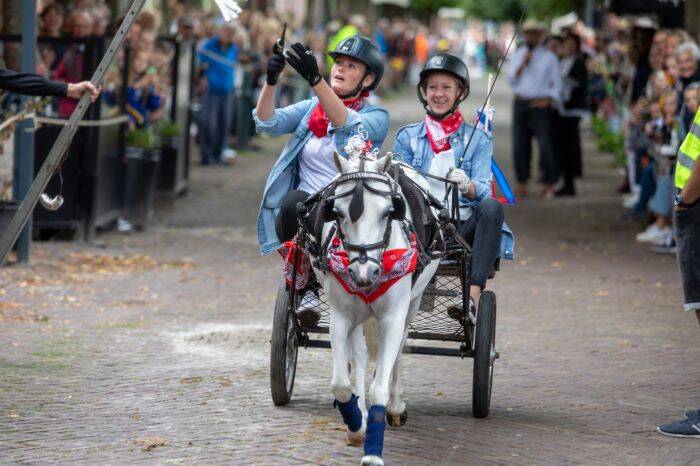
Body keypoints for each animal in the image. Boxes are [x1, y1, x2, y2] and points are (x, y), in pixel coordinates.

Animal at [312, 153, 438, 466]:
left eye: (387, 212)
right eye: (337, 212)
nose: (363, 272)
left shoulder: (393, 317)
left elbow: (379, 384)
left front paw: (372, 452)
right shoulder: (341, 317)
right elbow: (341, 383)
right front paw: (357, 426)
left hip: (412, 304)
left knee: (399, 351)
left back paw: (396, 406)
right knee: (359, 354)